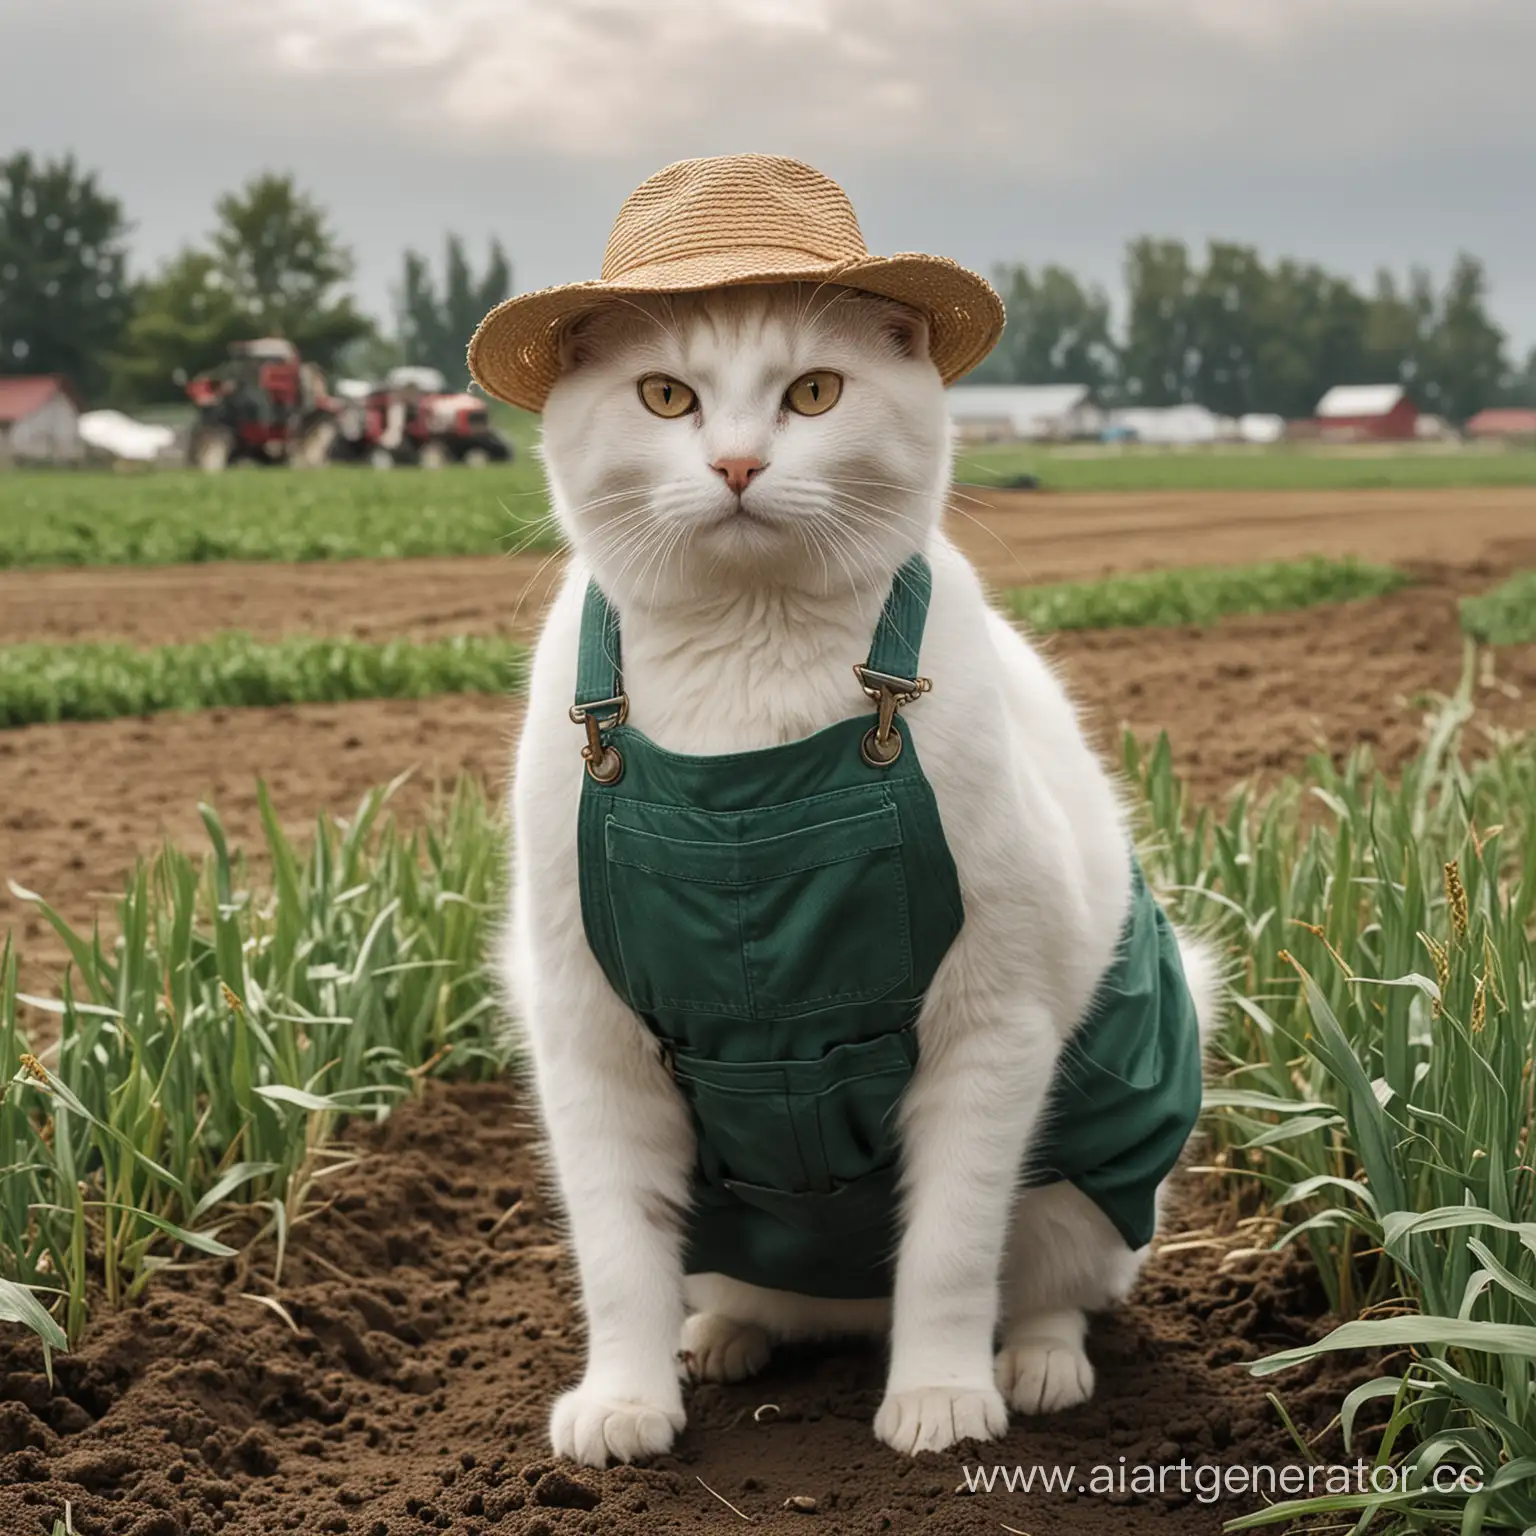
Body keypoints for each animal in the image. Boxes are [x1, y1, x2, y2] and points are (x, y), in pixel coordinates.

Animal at [497, 282, 1216, 1468]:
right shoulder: (588, 1036)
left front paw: (940, 1401)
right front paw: (625, 1402)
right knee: (743, 1294)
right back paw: (724, 1338)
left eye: (816, 392)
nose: (738, 463)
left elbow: (951, 1252)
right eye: (665, 396)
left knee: (1054, 1286)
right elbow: (616, 1251)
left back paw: (1039, 1368)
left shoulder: (993, 1027)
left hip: (1089, 1167)